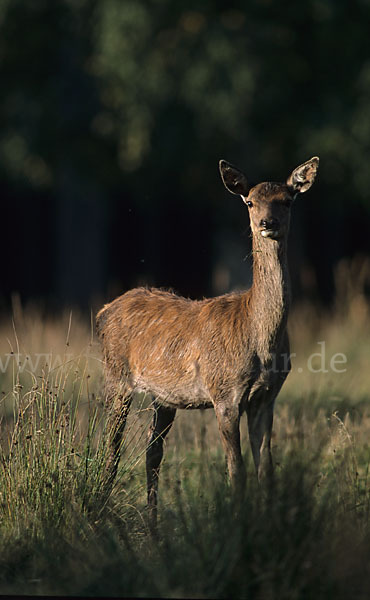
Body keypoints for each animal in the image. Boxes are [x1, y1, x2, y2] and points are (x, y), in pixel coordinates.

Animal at [95, 155, 318, 524]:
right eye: (250, 201)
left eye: (287, 200)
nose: (267, 222)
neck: (259, 341)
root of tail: (104, 310)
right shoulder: (224, 392)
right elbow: (236, 471)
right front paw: (237, 524)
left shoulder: (267, 397)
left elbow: (266, 471)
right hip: (116, 377)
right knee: (111, 448)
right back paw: (98, 511)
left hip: (164, 397)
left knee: (152, 452)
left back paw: (153, 525)